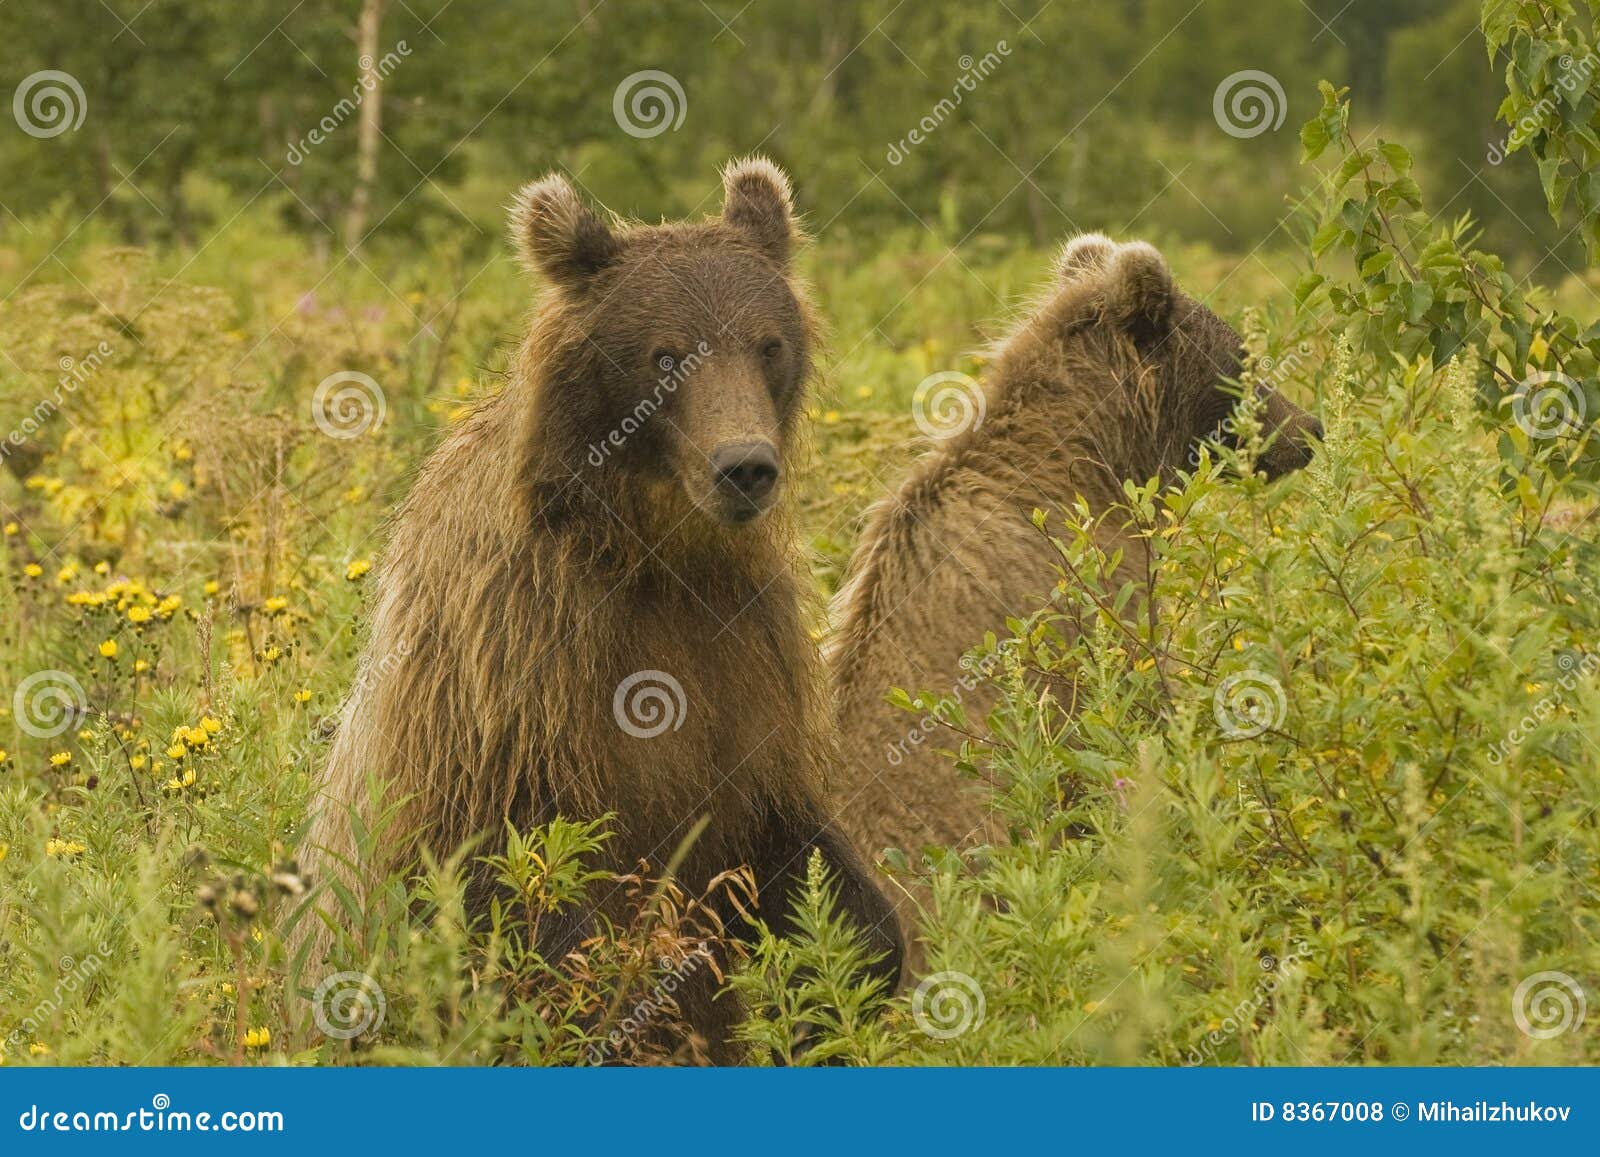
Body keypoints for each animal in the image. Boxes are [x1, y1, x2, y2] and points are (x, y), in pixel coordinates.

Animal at [296, 158, 908, 1062]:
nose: (745, 467)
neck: (653, 555)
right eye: (665, 354)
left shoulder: (745, 653)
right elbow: (523, 887)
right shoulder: (514, 660)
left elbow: (792, 847)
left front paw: (844, 971)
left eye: (768, 343)